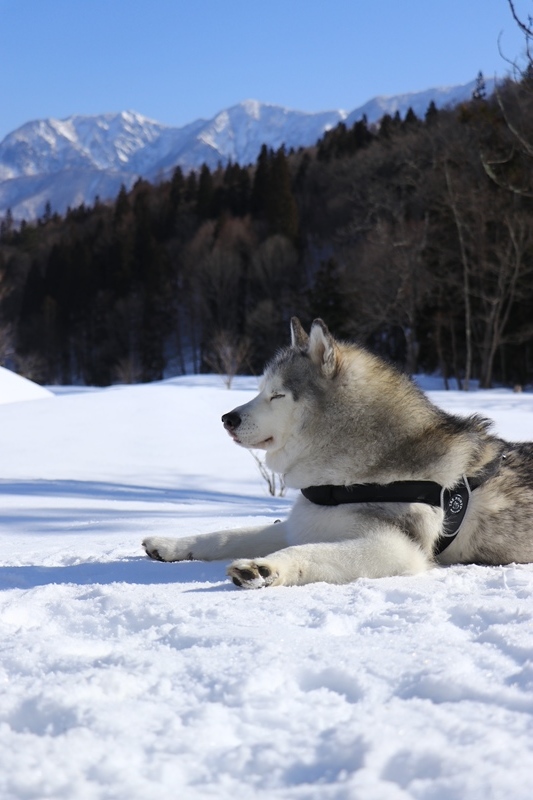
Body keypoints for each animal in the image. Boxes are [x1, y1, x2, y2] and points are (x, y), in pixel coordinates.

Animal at [143, 318, 532, 588]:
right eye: (260, 390)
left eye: (277, 395)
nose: (227, 418)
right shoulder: (305, 523)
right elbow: (225, 535)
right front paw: (171, 544)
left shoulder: (397, 549)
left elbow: (307, 552)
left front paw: (265, 568)